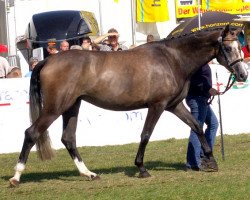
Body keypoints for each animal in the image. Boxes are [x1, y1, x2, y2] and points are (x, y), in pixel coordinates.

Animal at [8, 25, 247, 186]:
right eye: (228, 48)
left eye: (239, 46)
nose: (243, 74)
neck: (172, 59)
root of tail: (47, 60)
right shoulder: (157, 105)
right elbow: (146, 134)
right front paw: (141, 168)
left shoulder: (175, 105)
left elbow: (197, 126)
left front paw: (211, 161)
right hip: (55, 107)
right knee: (32, 133)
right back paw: (16, 177)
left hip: (72, 107)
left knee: (68, 138)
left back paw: (89, 174)